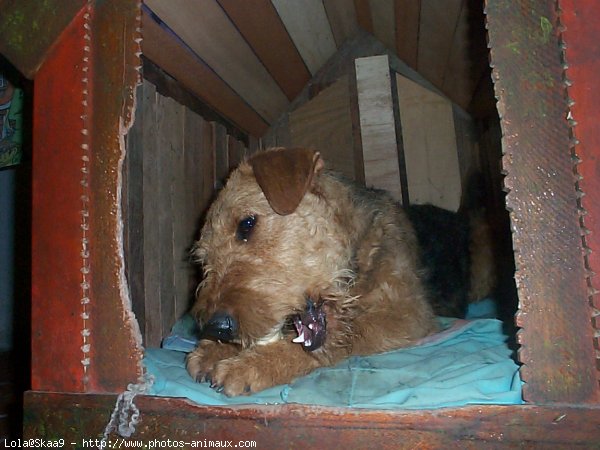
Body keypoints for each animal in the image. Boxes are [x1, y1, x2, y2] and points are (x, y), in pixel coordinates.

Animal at [185, 147, 494, 394]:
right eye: (203, 260)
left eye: (246, 224)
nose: (216, 327)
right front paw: (213, 350)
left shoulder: (408, 316)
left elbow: (341, 338)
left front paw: (251, 365)